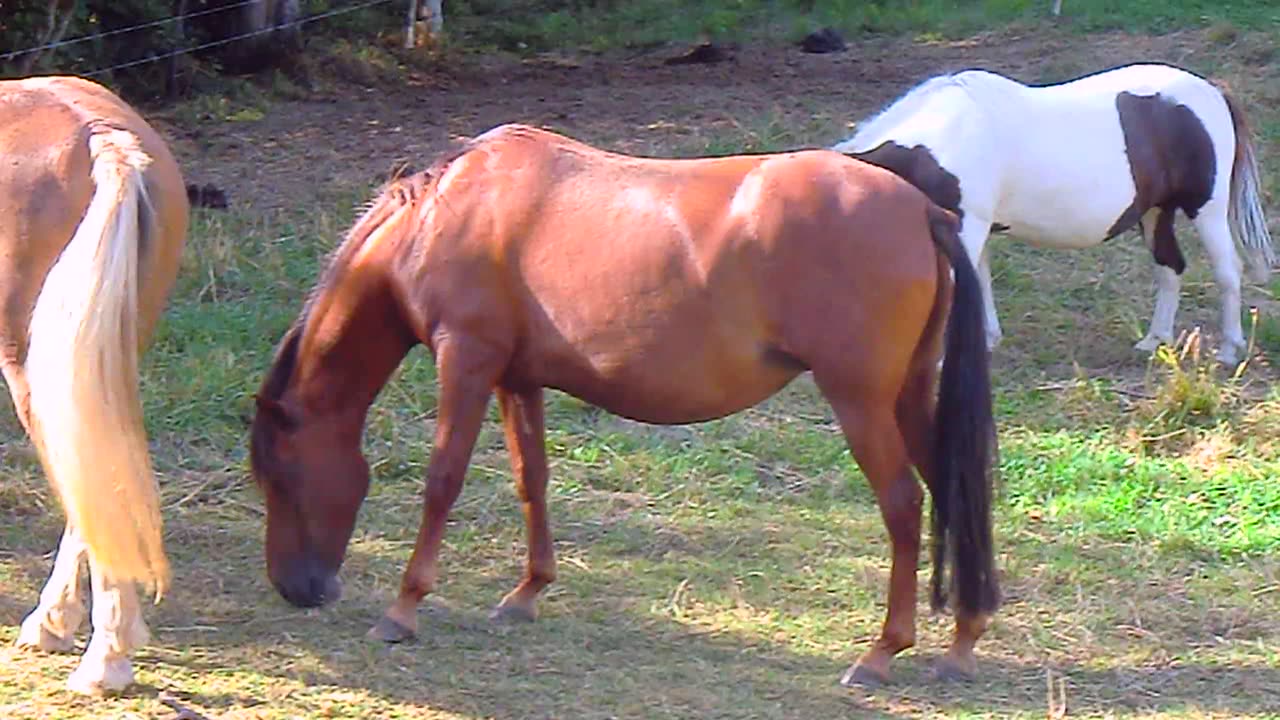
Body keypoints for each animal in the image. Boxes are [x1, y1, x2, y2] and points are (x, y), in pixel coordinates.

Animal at [249, 122, 998, 681]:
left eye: (279, 476)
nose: (295, 589)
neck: (446, 214)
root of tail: (922, 209)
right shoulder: (516, 378)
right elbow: (532, 479)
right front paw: (526, 593)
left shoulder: (466, 362)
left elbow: (442, 482)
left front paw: (403, 610)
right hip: (907, 395)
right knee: (953, 489)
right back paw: (963, 639)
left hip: (861, 401)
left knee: (903, 503)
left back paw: (882, 651)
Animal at [834, 61, 1274, 363]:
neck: (939, 139)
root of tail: (1212, 91)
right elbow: (979, 282)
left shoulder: (966, 225)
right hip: (1155, 212)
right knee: (1170, 267)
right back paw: (1155, 340)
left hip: (1207, 209)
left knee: (1227, 271)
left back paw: (1230, 349)